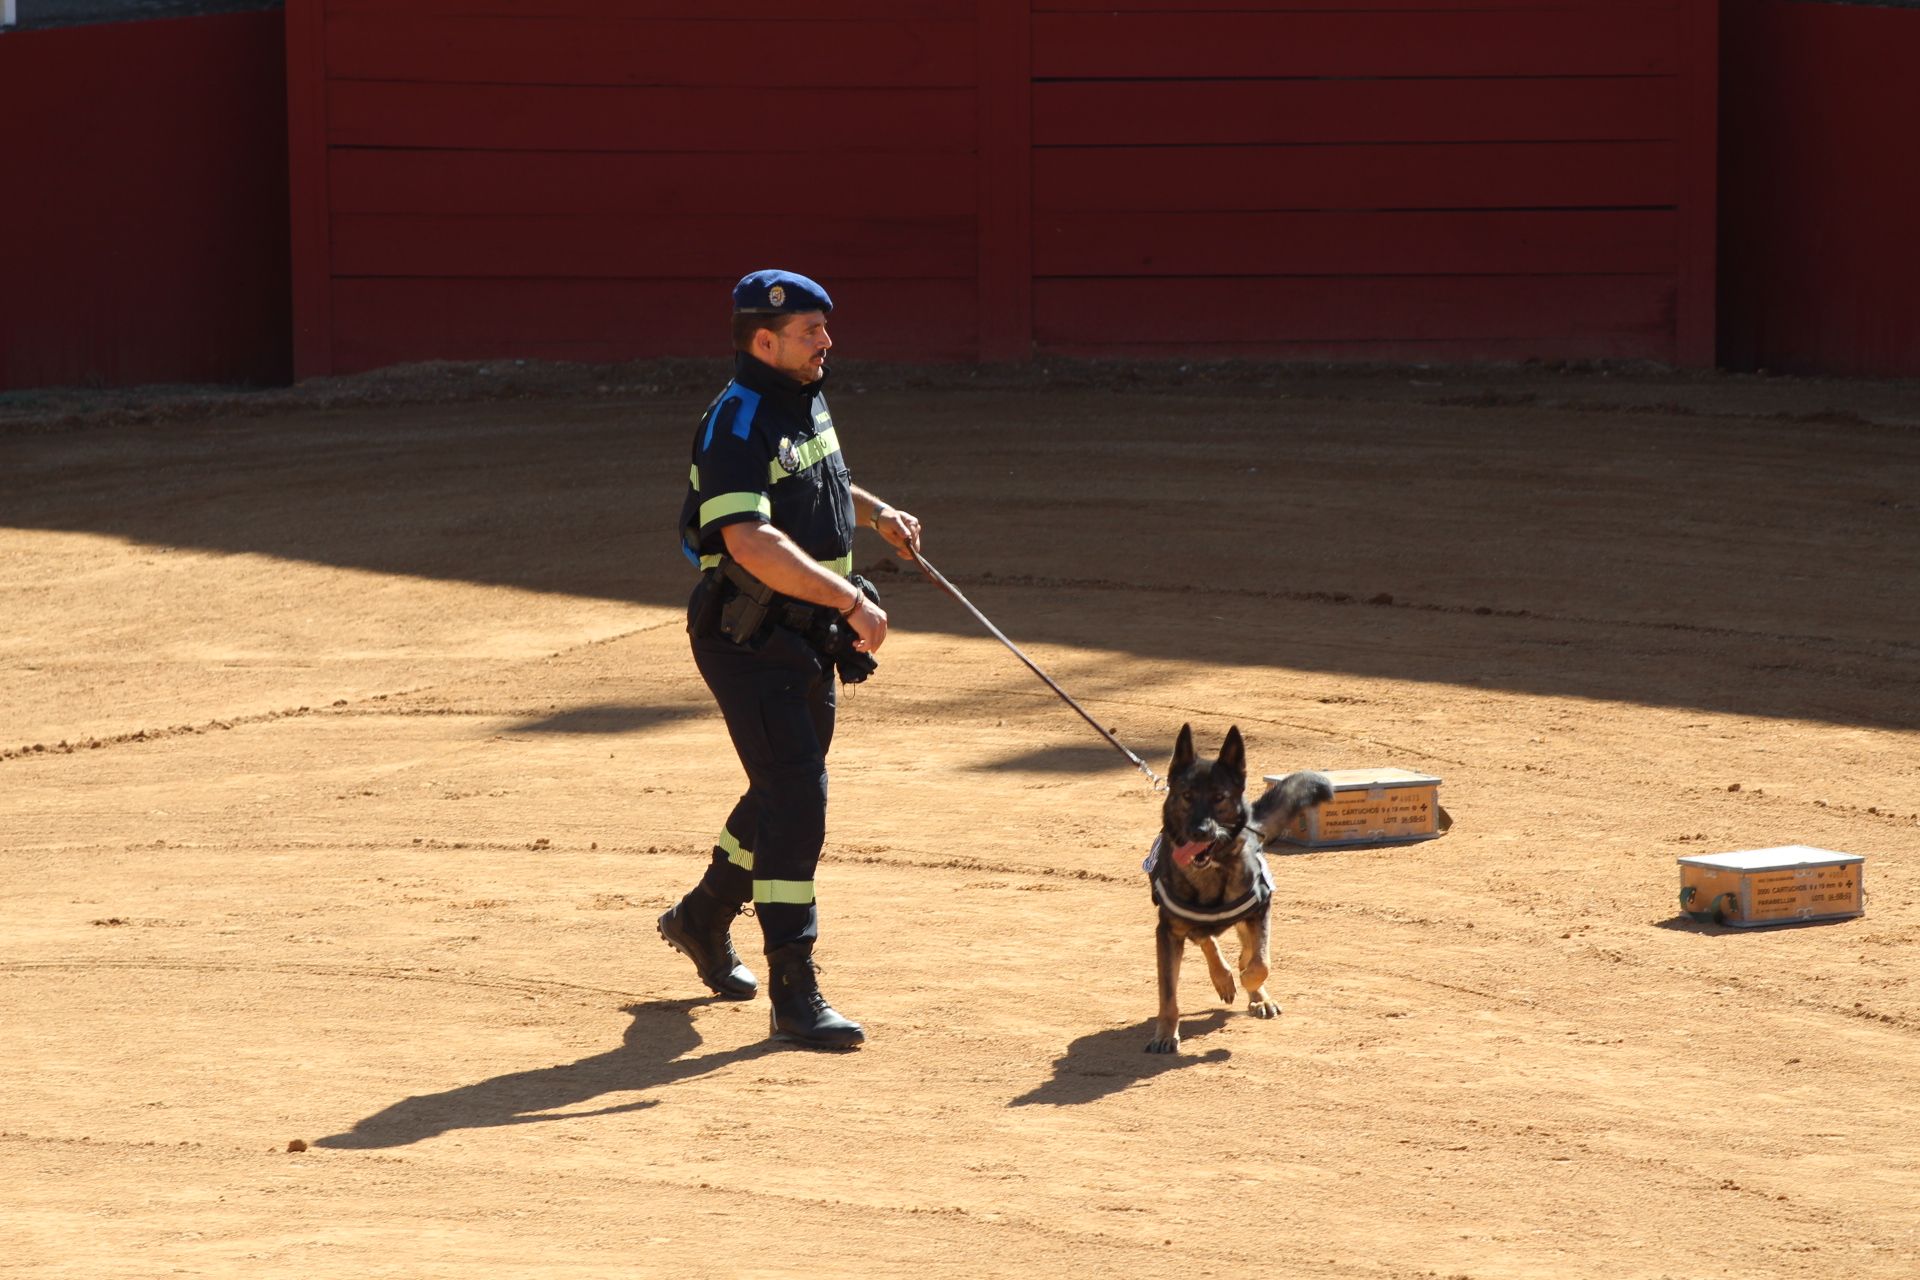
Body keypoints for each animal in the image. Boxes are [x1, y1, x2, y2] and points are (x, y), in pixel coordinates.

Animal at [1144, 725, 1328, 1059]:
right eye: (1187, 796)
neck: (1211, 871)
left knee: (1242, 946)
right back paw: (1224, 977)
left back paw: (1255, 993)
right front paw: (1165, 1034)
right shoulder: (1167, 932)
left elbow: (1261, 961)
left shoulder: (1261, 909)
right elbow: (1168, 995)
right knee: (1206, 938)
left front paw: (1251, 983)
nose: (1199, 831)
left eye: (1219, 797)